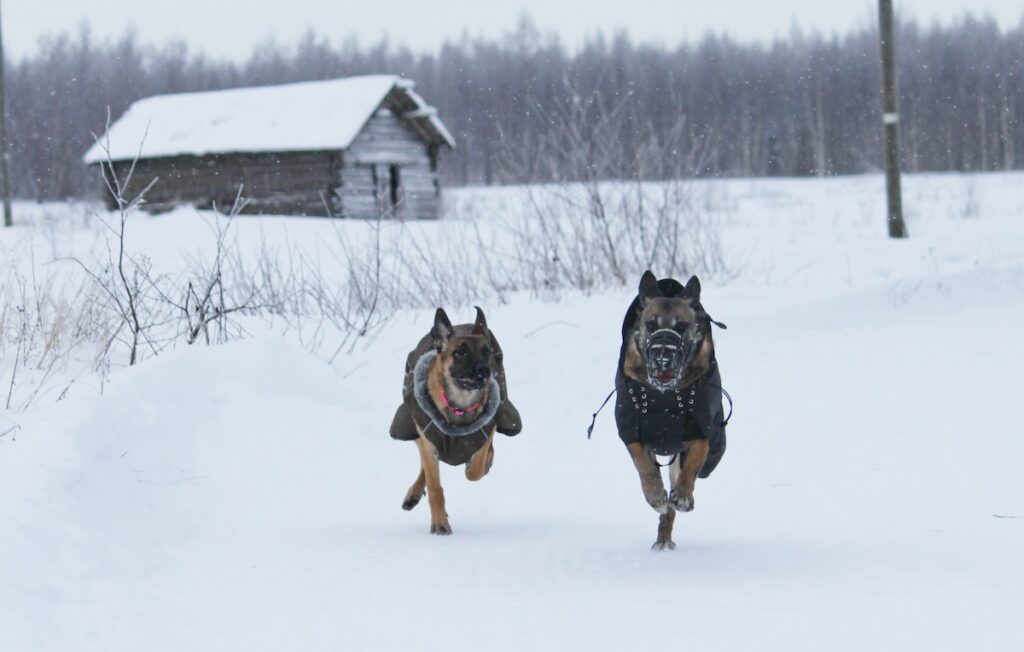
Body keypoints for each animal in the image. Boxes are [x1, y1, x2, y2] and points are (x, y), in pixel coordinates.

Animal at [614, 270, 729, 548]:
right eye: (651, 325)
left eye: (681, 326)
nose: (663, 354)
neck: (664, 397)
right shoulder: (631, 428)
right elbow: (643, 465)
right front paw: (655, 495)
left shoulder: (700, 429)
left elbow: (693, 466)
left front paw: (684, 496)